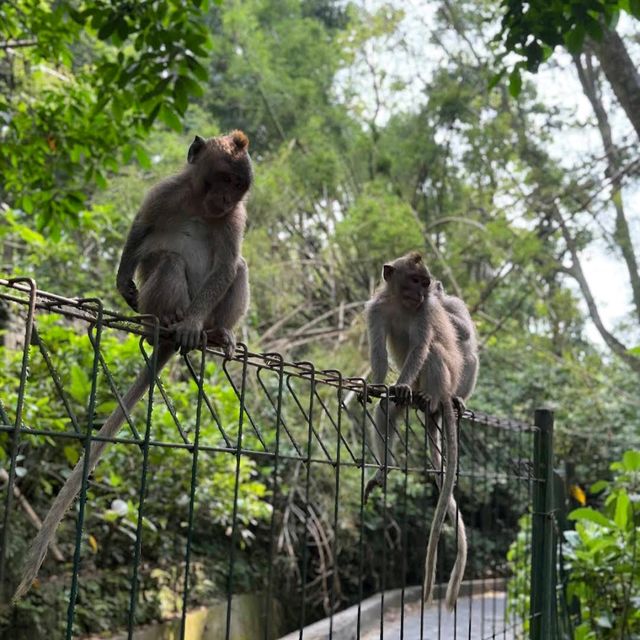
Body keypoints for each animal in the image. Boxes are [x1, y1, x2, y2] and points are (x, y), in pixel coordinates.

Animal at [12, 130, 252, 600]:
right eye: (220, 178)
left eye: (237, 186)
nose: (223, 198)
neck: (200, 205)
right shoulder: (166, 190)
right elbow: (141, 229)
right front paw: (124, 280)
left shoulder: (236, 219)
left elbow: (226, 265)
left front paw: (199, 324)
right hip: (157, 303)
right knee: (167, 262)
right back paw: (167, 323)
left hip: (210, 310)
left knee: (237, 268)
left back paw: (211, 333)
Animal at [364, 250, 464, 608]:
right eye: (414, 280)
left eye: (425, 283)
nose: (421, 293)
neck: (401, 304)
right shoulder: (375, 309)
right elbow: (379, 355)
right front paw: (376, 384)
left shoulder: (427, 311)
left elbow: (421, 347)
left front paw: (401, 384)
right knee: (386, 411)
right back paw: (383, 470)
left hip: (445, 377)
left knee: (433, 349)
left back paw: (425, 395)